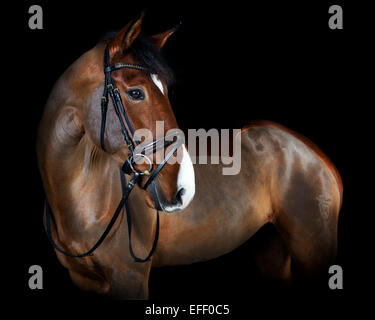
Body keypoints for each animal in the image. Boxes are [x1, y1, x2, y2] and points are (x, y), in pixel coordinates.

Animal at [36, 15, 344, 300]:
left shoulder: (130, 277)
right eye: (135, 92)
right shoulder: (84, 281)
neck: (84, 195)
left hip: (312, 249)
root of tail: (314, 153)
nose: (184, 187)